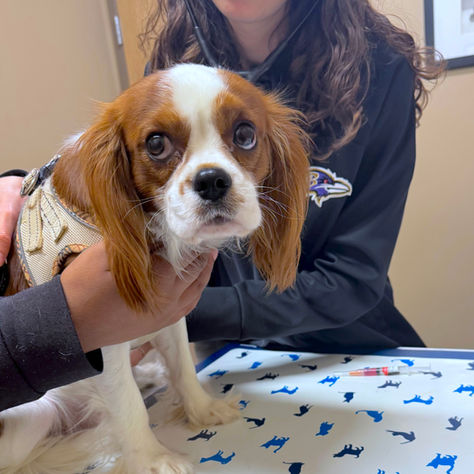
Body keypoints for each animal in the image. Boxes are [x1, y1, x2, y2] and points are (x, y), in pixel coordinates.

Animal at [0, 64, 309, 473]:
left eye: (245, 134)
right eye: (156, 144)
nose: (212, 180)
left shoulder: (167, 314)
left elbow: (182, 365)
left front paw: (202, 409)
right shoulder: (102, 333)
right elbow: (128, 404)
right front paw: (151, 458)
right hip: (31, 417)